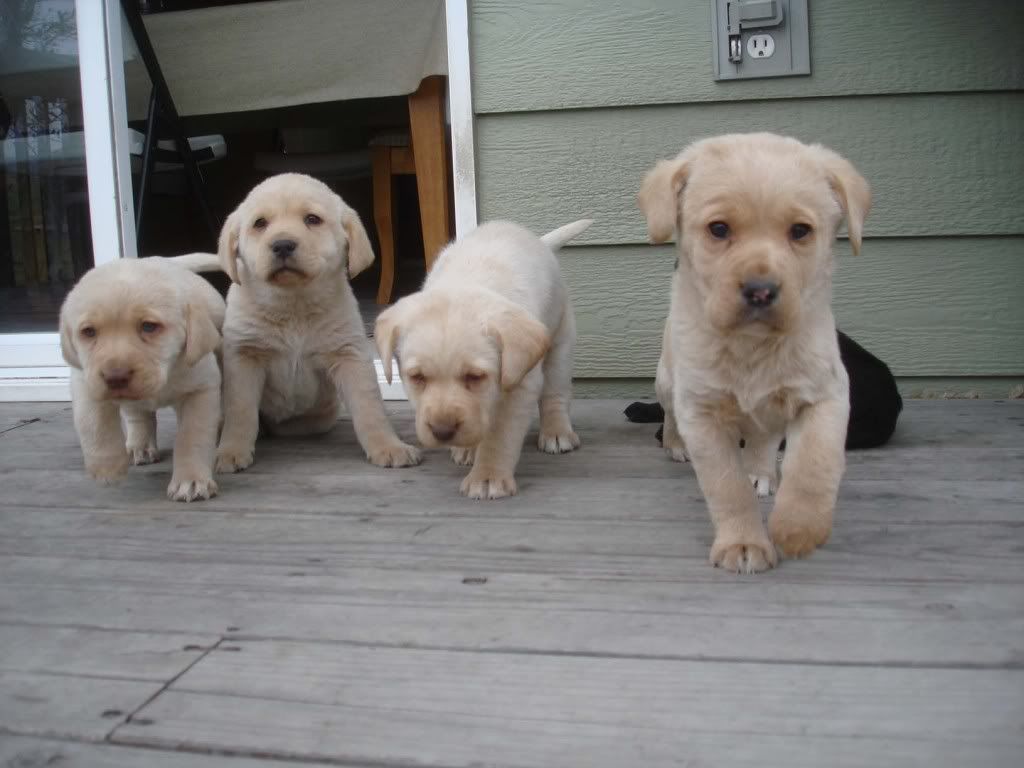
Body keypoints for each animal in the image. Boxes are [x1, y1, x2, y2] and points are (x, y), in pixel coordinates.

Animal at [62, 256, 227, 501]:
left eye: (149, 326)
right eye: (88, 332)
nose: (115, 377)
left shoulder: (201, 388)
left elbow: (192, 435)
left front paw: (191, 480)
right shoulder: (85, 380)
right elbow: (92, 423)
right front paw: (107, 468)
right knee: (137, 415)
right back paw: (139, 445)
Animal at [216, 174, 419, 473]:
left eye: (312, 219)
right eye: (260, 223)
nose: (283, 245)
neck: (293, 306)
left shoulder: (349, 355)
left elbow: (369, 408)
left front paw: (388, 446)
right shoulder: (244, 355)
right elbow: (240, 410)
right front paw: (230, 451)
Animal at [374, 219, 593, 501]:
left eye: (475, 376)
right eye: (417, 377)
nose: (443, 432)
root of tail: (537, 241)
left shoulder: (519, 385)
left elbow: (500, 435)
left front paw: (488, 476)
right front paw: (470, 450)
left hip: (560, 337)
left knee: (555, 393)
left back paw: (557, 432)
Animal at [638, 135, 872, 573]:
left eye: (800, 231)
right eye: (718, 229)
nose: (761, 291)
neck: (752, 346)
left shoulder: (826, 393)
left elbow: (814, 463)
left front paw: (798, 528)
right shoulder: (702, 411)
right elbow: (727, 487)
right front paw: (743, 543)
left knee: (765, 438)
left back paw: (762, 473)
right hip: (667, 382)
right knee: (670, 414)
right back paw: (676, 444)